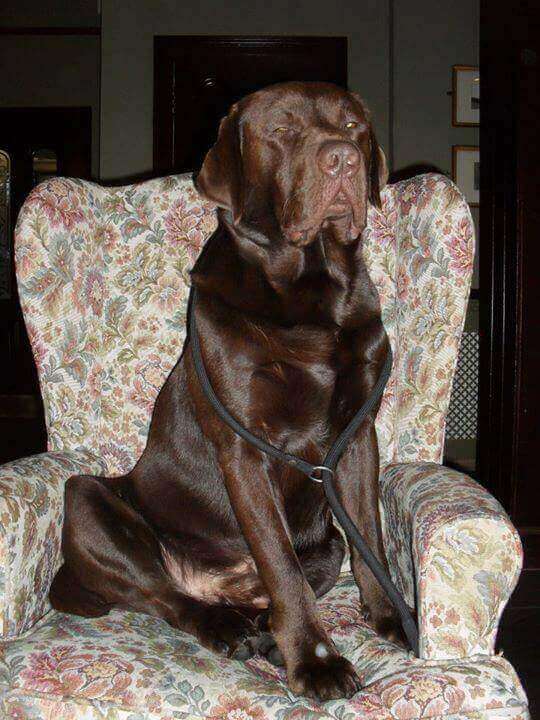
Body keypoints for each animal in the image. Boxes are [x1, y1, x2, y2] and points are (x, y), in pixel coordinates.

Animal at [50, 81, 398, 701]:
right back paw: (225, 627)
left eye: (354, 125)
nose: (342, 159)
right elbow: (281, 564)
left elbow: (368, 539)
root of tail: (218, 584)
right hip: (88, 500)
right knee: (165, 595)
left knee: (298, 574)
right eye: (282, 131)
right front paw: (317, 663)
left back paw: (261, 631)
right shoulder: (245, 448)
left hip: (323, 541)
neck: (313, 293)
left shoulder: (358, 437)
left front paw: (388, 619)